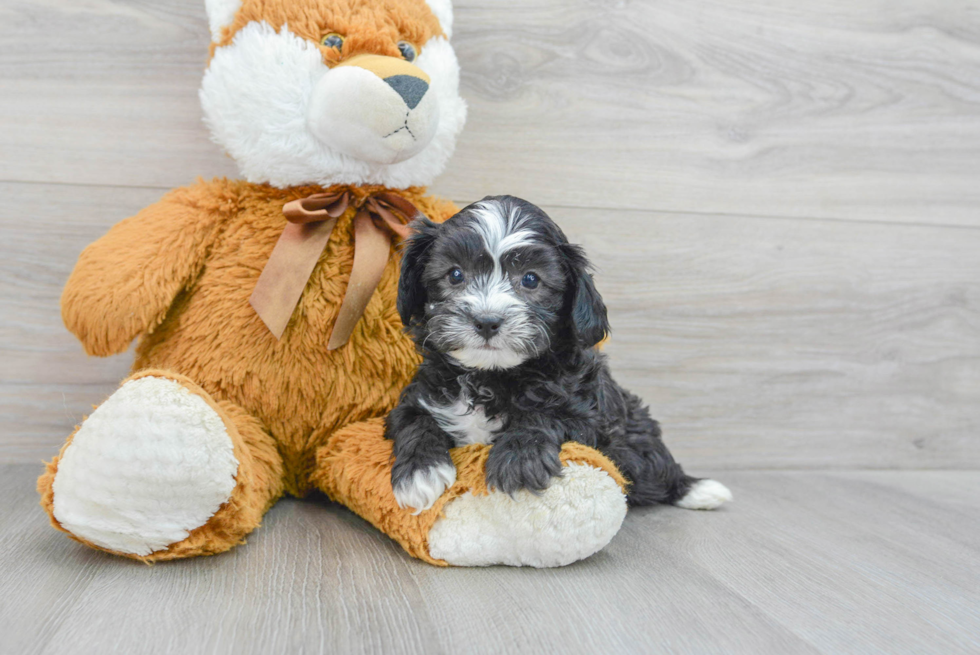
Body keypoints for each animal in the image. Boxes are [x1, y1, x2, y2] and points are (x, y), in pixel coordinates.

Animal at [386, 197, 732, 516]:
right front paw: (420, 473)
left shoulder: (587, 416)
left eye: (530, 279)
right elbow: (413, 420)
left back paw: (696, 490)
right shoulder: (418, 397)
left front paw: (519, 459)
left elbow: (547, 416)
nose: (487, 321)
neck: (491, 376)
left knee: (656, 466)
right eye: (455, 275)